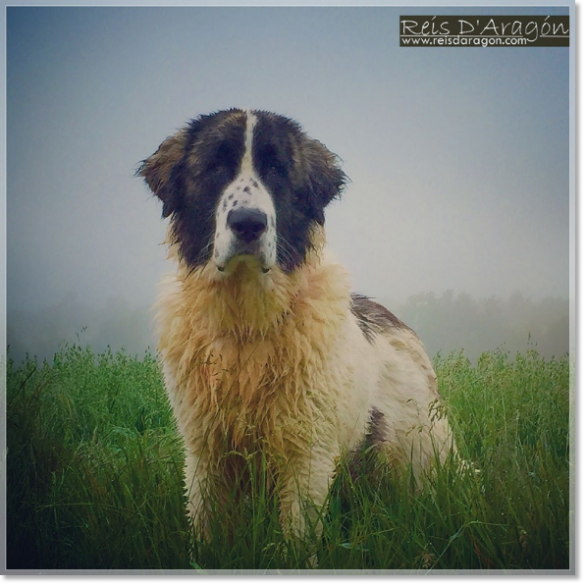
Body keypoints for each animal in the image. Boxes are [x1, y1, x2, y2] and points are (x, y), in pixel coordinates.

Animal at [138, 108, 456, 544]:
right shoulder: (206, 452)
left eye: (277, 170)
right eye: (216, 166)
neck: (247, 324)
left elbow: (296, 540)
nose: (248, 223)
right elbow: (207, 531)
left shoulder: (306, 456)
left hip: (419, 456)